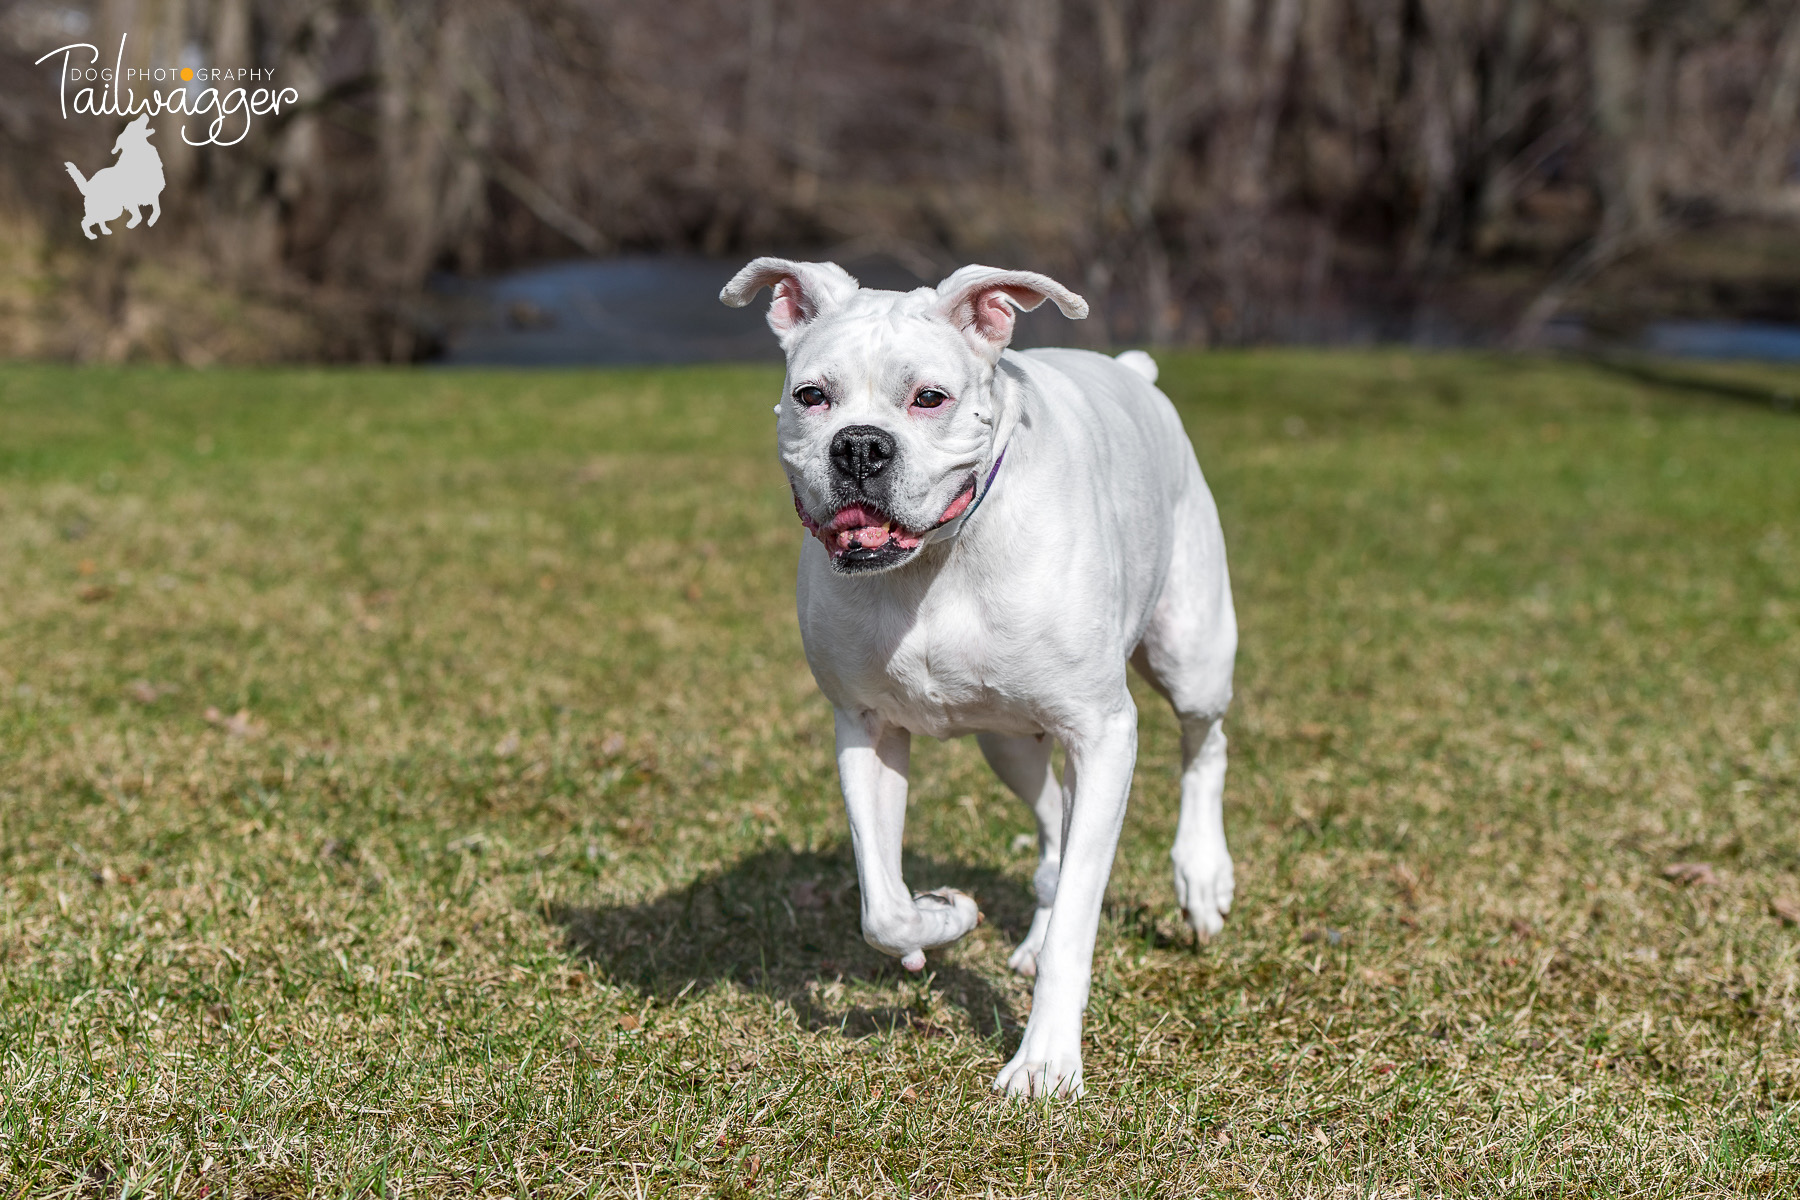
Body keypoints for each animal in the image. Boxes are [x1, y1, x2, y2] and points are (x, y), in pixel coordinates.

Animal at [716, 260, 1238, 1101]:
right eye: (812, 395)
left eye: (930, 397)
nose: (860, 447)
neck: (938, 560)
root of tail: (1135, 373)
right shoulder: (866, 728)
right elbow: (882, 906)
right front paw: (943, 918)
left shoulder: (1103, 731)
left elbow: (1080, 924)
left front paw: (1047, 1062)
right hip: (1010, 743)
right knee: (1055, 823)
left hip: (1191, 653)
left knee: (1203, 747)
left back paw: (1202, 877)